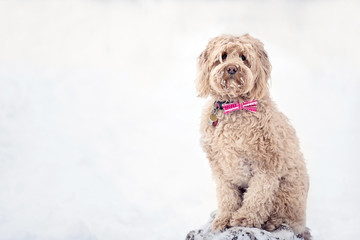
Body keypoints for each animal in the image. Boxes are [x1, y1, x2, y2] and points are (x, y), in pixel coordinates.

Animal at [195, 34, 310, 240]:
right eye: (223, 56)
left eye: (243, 57)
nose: (232, 68)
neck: (235, 106)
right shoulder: (220, 168)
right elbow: (226, 196)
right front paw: (224, 219)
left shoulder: (266, 165)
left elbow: (258, 195)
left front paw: (244, 219)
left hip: (287, 193)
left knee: (284, 217)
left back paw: (272, 223)